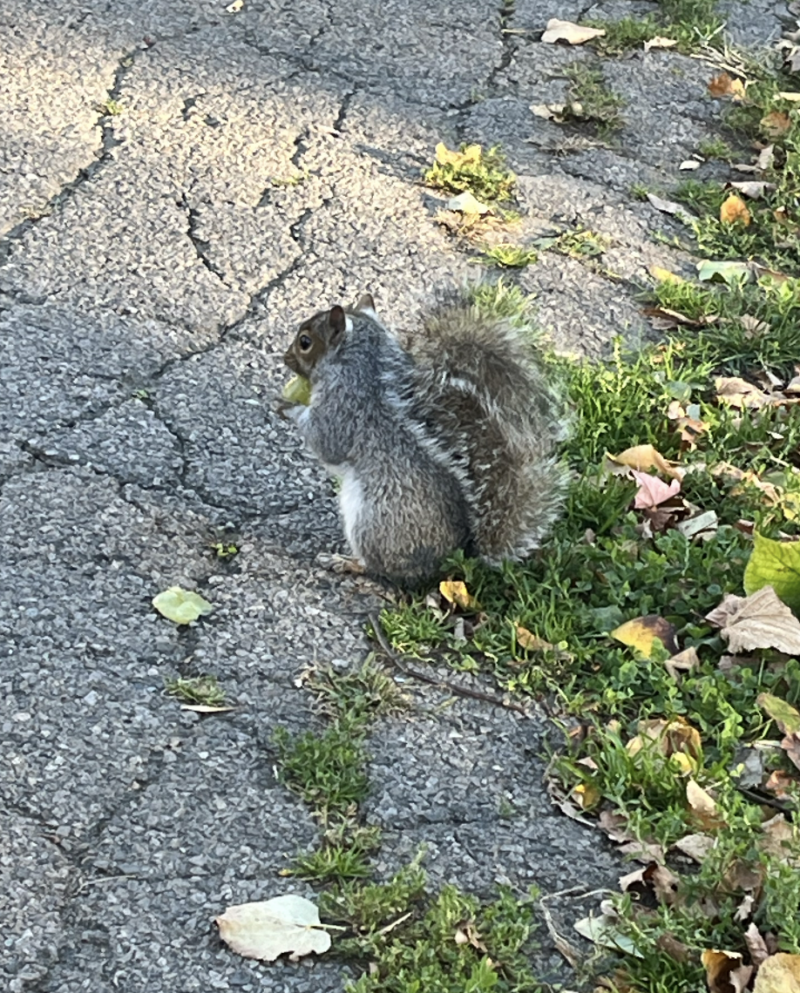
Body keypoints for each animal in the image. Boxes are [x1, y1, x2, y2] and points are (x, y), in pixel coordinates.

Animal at [281, 289, 568, 585]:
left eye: (305, 342)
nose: (285, 357)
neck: (361, 363)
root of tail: (454, 561)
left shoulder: (344, 405)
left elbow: (325, 441)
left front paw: (287, 407)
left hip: (375, 526)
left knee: (380, 568)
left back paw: (344, 562)